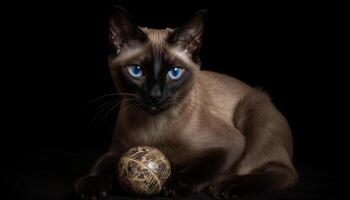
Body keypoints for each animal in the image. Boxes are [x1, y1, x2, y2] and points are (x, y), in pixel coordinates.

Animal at [74, 5, 298, 199]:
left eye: (174, 73)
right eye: (136, 70)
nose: (155, 95)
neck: (154, 129)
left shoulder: (229, 145)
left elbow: (199, 168)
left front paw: (174, 185)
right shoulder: (117, 150)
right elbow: (100, 166)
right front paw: (92, 187)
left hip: (251, 105)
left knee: (283, 172)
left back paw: (226, 186)